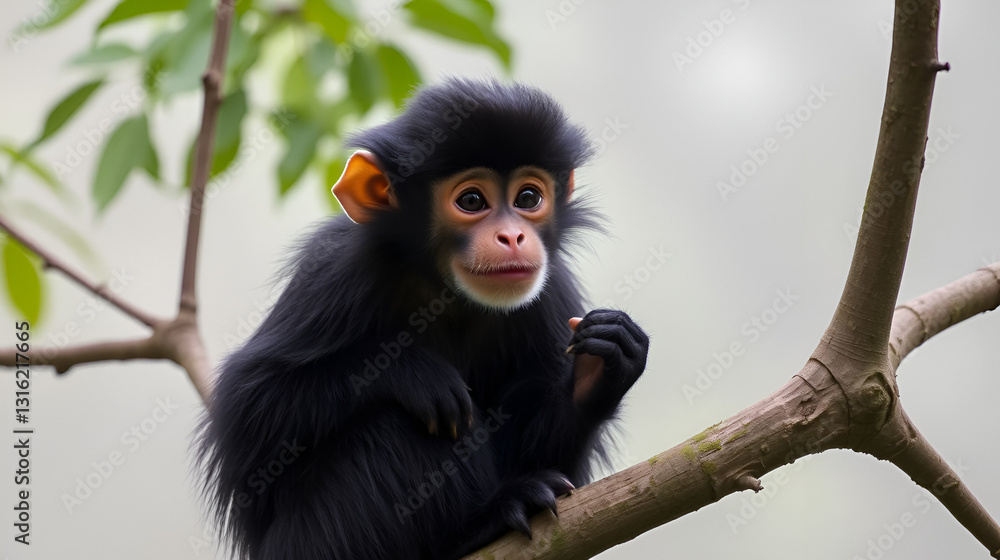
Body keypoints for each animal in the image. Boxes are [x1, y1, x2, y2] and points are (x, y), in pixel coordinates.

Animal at [198, 77, 649, 560]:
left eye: (528, 198)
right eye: (472, 200)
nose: (513, 236)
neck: (444, 291)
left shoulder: (551, 290)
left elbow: (551, 457)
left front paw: (601, 365)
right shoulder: (337, 270)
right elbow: (247, 410)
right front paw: (409, 369)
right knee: (393, 424)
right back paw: (478, 524)